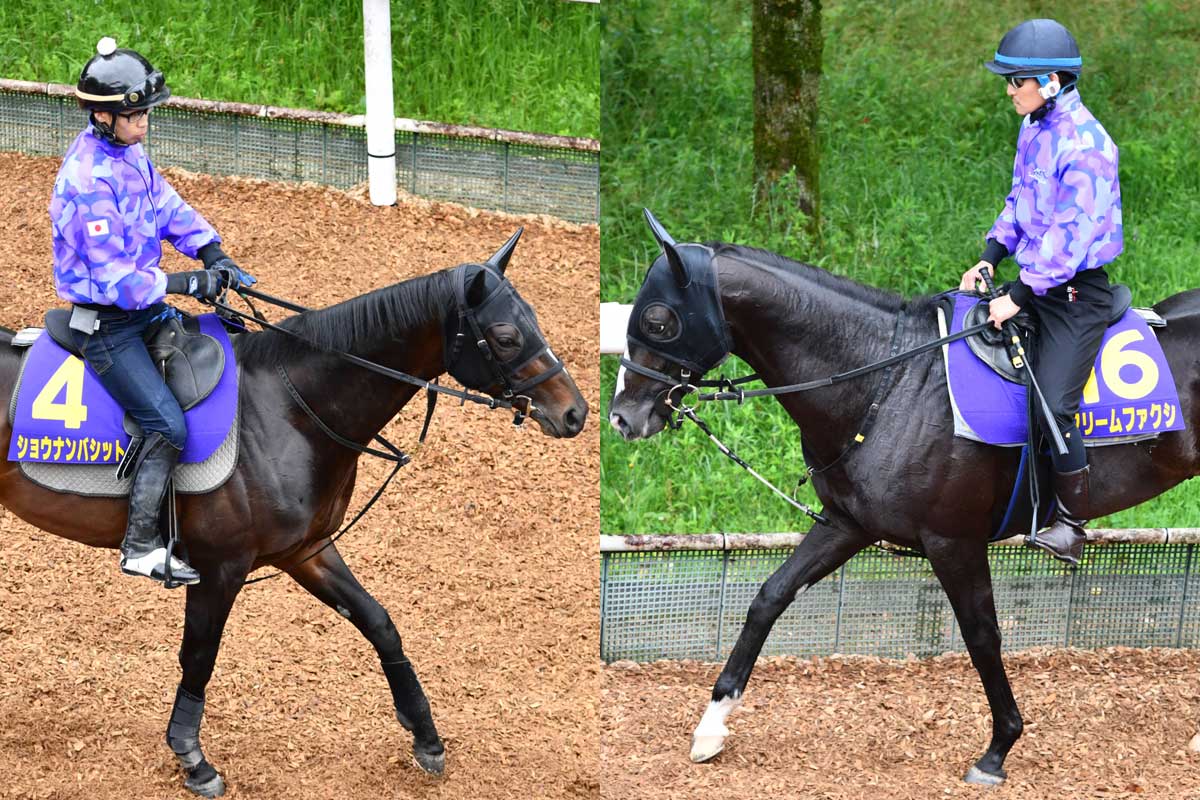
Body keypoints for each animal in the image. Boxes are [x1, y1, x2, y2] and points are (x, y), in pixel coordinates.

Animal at [0, 230, 587, 797]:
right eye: (506, 336)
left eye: (534, 319)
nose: (574, 413)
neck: (289, 408)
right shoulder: (220, 568)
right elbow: (200, 655)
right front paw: (193, 759)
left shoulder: (307, 550)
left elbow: (379, 623)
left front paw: (425, 735)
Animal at [608, 210, 1200, 785]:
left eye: (658, 319)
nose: (622, 417)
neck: (891, 382)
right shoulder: (845, 523)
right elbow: (769, 598)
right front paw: (711, 725)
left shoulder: (953, 541)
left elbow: (982, 635)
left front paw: (998, 748)